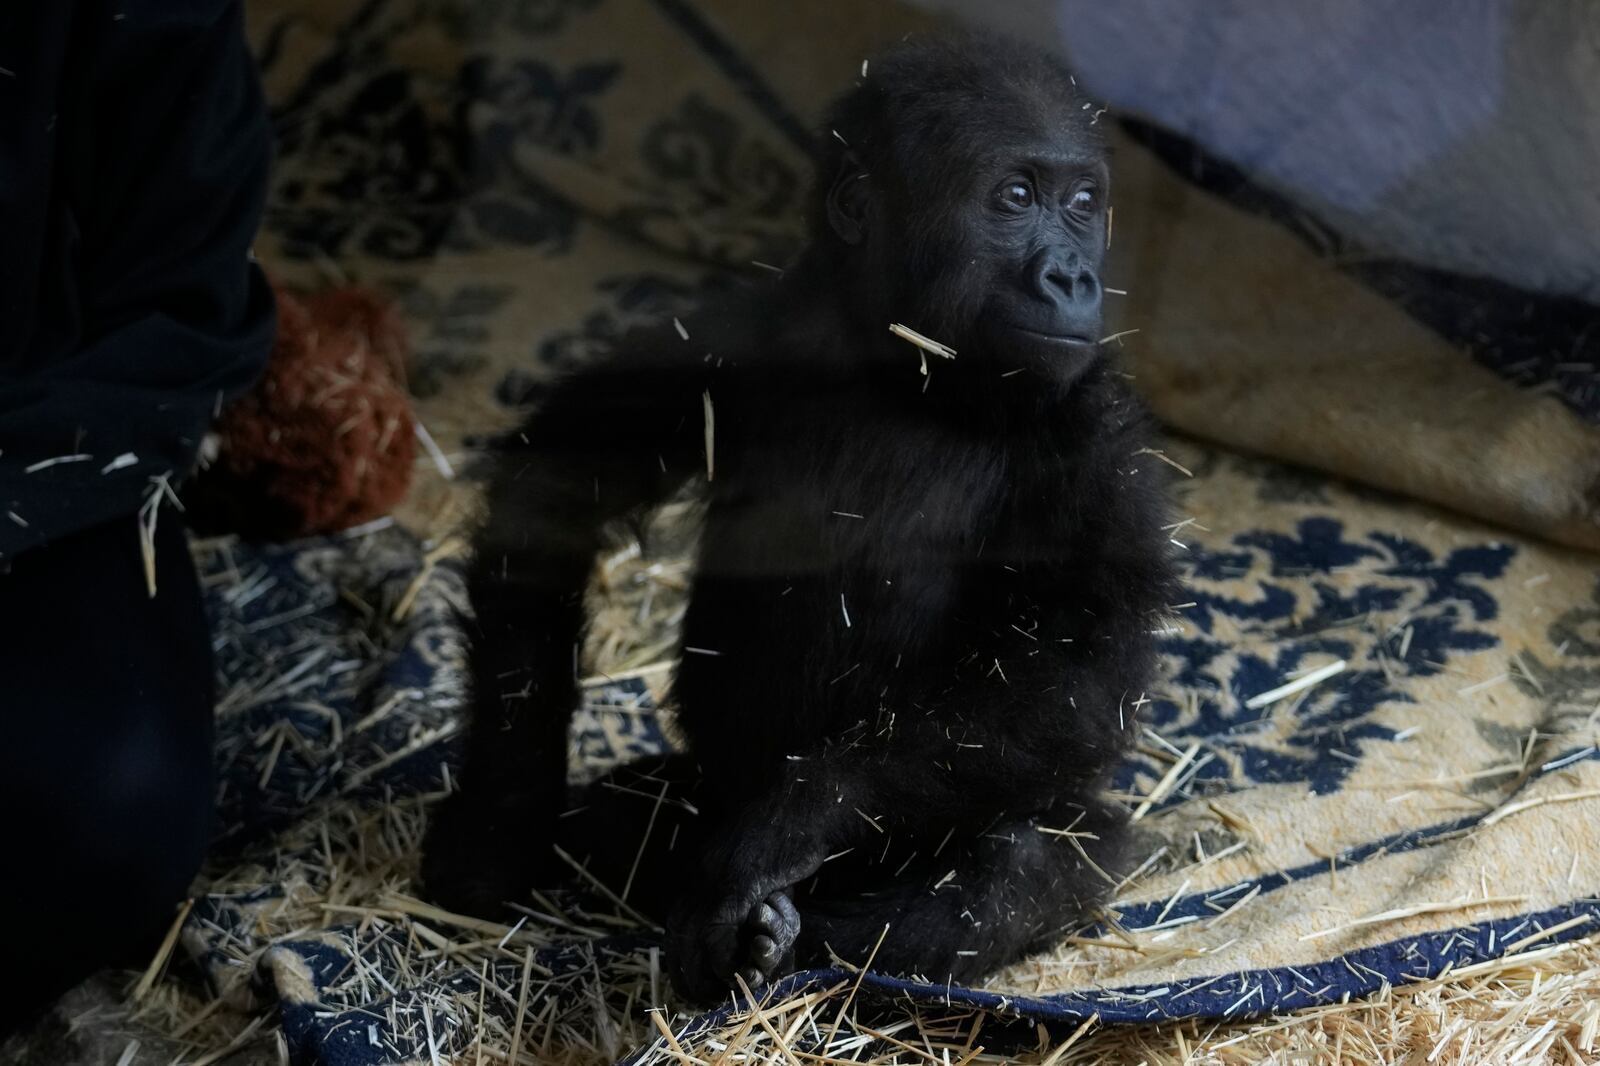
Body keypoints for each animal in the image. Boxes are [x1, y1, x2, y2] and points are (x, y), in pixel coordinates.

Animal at [419, 31, 1184, 998]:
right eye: (1015, 197)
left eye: (1085, 205)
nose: (1074, 274)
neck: (906, 364)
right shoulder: (733, 331)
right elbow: (557, 484)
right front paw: (501, 815)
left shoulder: (1100, 433)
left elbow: (1080, 670)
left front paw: (790, 824)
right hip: (705, 788)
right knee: (627, 815)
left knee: (1019, 864)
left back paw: (794, 938)